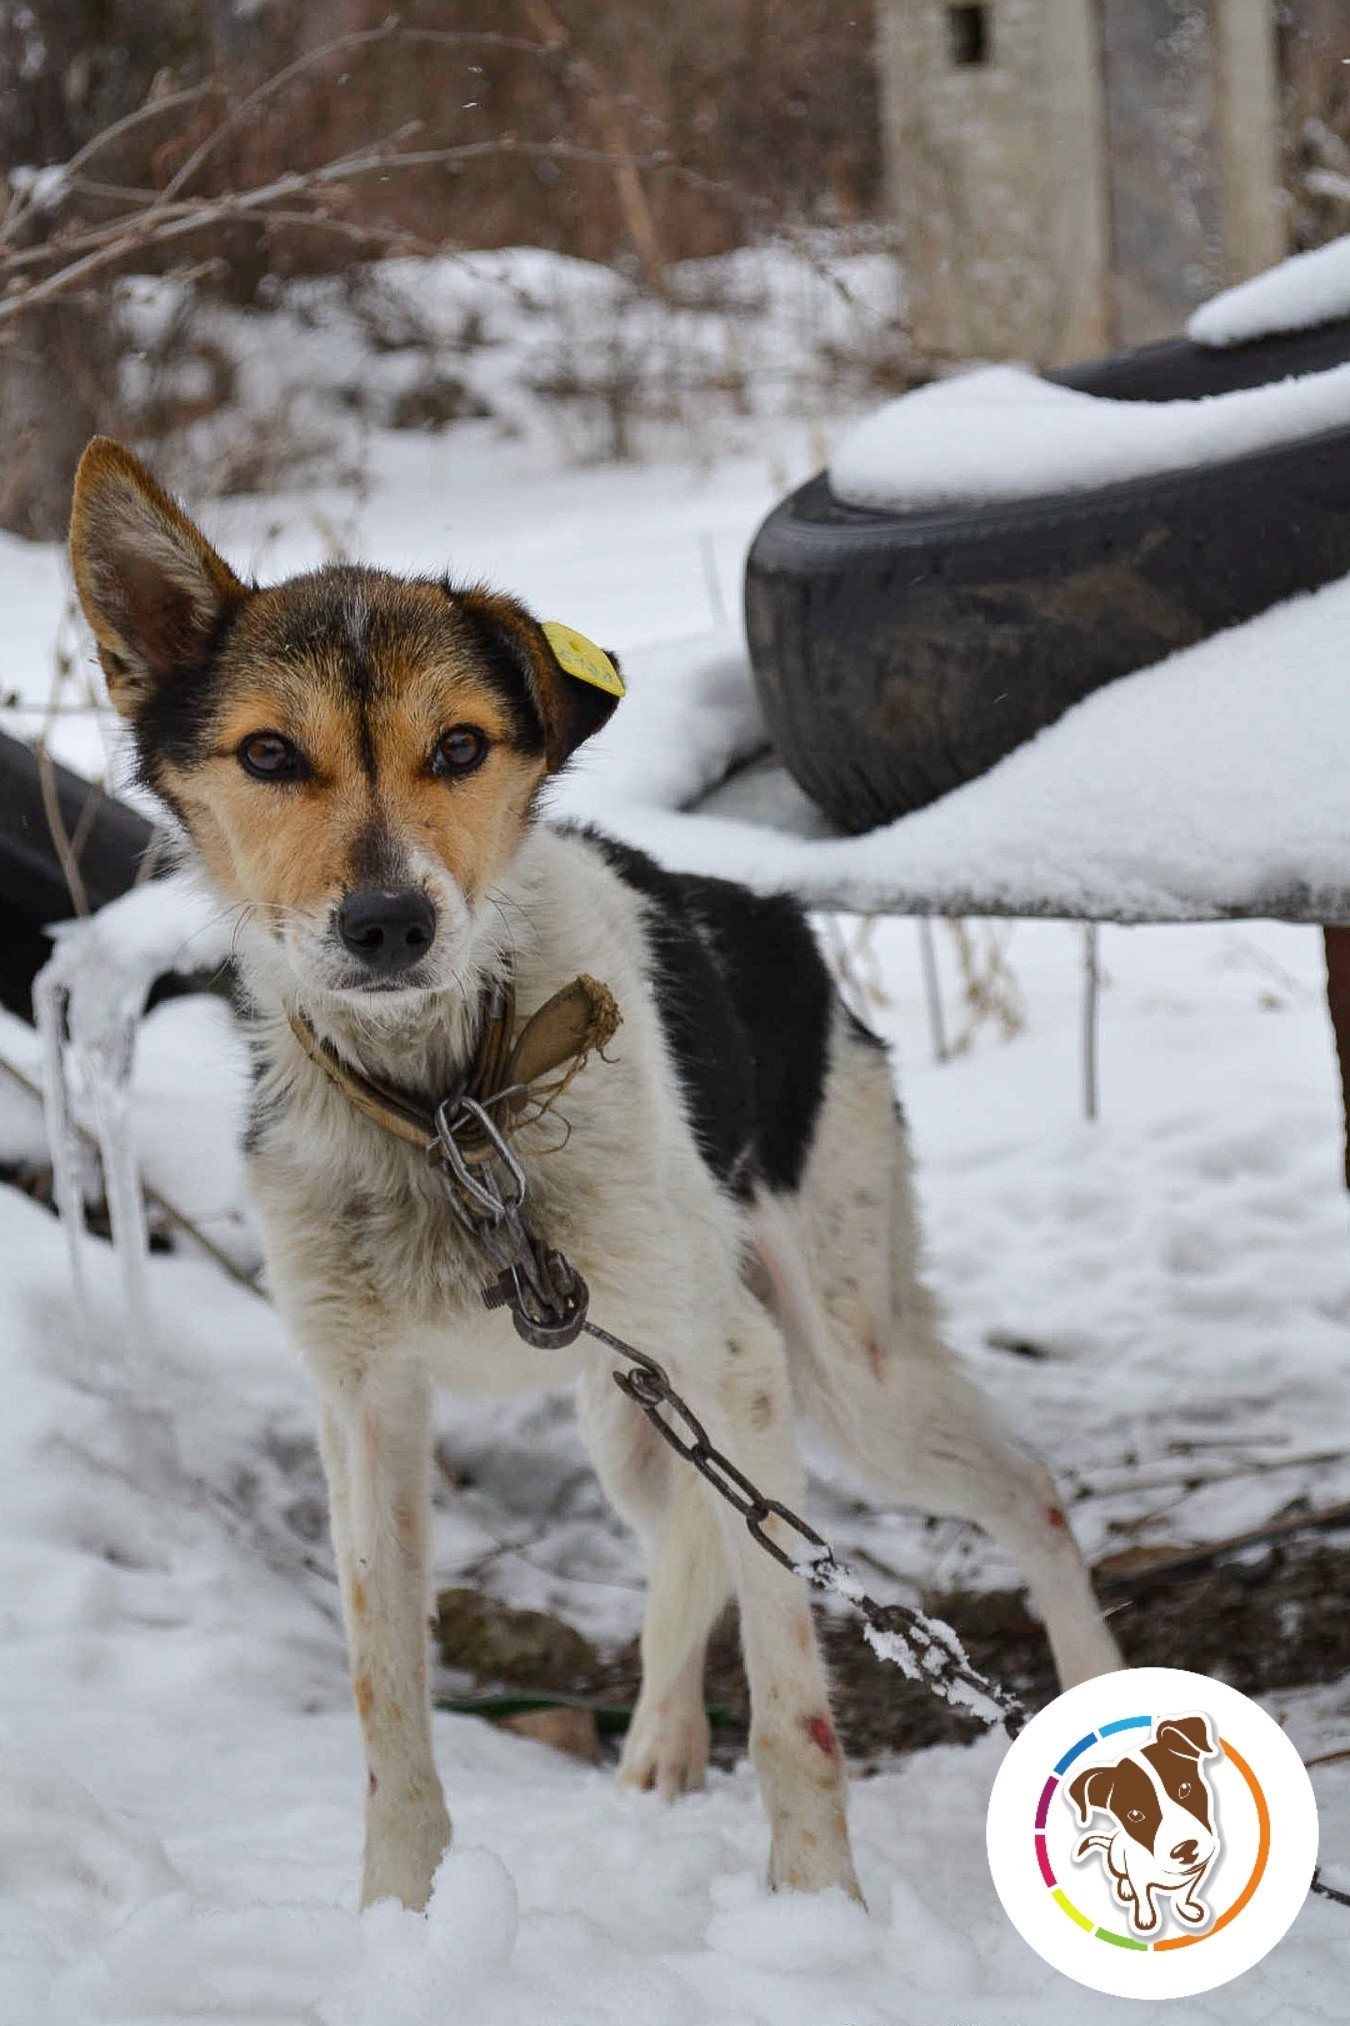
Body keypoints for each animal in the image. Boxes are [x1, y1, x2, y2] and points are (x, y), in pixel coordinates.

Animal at [68, 431, 1118, 1912]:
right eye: (269, 752)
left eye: (459, 745)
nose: (387, 923)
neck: (452, 1100)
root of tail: (776, 922)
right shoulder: (364, 1405)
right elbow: (387, 1697)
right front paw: (402, 1917)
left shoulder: (739, 1365)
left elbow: (795, 1699)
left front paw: (820, 1910)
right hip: (628, 1413)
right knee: (690, 1541)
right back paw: (657, 1754)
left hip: (840, 1377)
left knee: (1023, 1494)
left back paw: (1085, 1690)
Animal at [1070, 1718, 1216, 1936]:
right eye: (1135, 1814)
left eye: (1184, 1788)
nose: (1186, 1850)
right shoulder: (1139, 1879)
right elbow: (1144, 1900)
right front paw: (1146, 1920)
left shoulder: (1198, 1873)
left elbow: (1184, 1894)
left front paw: (1186, 1909)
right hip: (1116, 1859)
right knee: (1122, 1876)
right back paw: (1125, 1888)